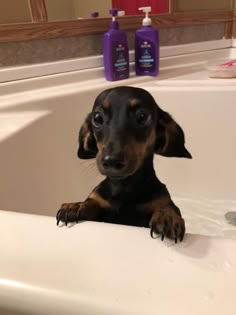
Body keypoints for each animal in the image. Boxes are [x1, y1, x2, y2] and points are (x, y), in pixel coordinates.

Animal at [57, 86, 192, 244]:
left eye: (142, 116)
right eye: (97, 118)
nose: (111, 161)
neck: (124, 186)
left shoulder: (163, 201)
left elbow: (168, 208)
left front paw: (168, 217)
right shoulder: (100, 201)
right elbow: (91, 202)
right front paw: (76, 205)